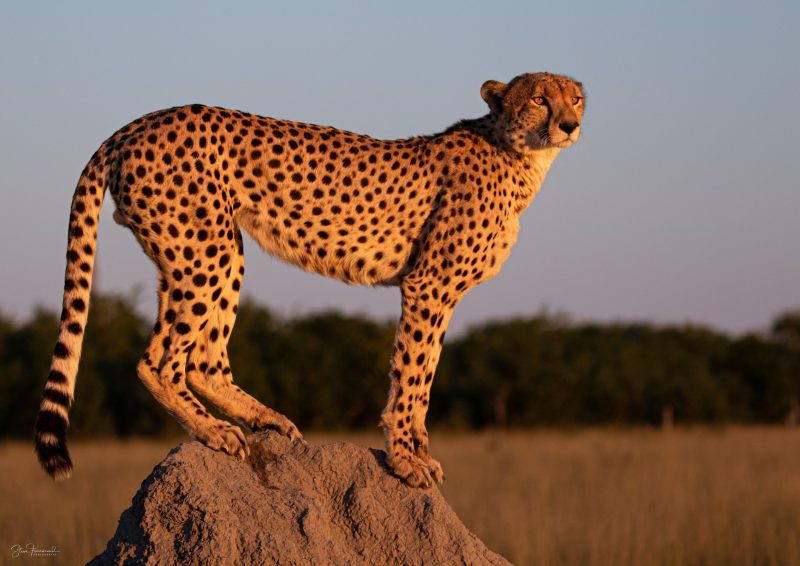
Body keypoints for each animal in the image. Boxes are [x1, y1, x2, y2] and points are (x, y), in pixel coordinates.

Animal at [35, 72, 584, 487]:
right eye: (539, 98)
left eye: (575, 97)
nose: (570, 123)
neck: (520, 156)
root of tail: (140, 121)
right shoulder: (428, 285)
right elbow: (412, 373)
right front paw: (405, 459)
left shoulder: (441, 293)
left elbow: (425, 372)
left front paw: (419, 452)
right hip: (206, 250)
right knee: (160, 361)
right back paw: (217, 432)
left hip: (208, 252)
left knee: (203, 359)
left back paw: (264, 419)